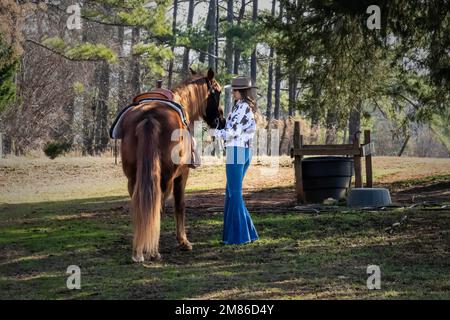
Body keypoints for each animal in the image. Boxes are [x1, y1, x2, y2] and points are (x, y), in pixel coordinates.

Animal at [119, 68, 225, 262]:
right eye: (218, 92)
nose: (221, 120)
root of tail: (149, 117)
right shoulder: (182, 175)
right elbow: (179, 205)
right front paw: (183, 241)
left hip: (133, 178)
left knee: (141, 207)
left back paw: (139, 250)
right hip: (165, 179)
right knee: (158, 206)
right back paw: (153, 251)